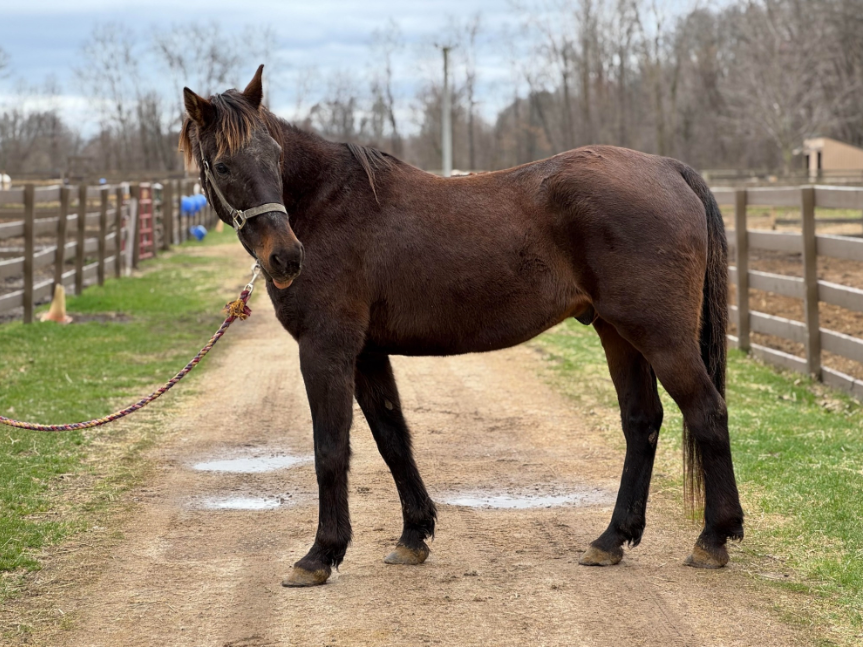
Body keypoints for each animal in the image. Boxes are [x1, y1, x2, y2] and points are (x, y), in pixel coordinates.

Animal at [179, 65, 744, 587]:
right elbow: (392, 438)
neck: (327, 203)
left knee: (707, 412)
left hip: (660, 336)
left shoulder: (327, 349)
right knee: (641, 422)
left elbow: (330, 450)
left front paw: (320, 556)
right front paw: (413, 537)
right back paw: (611, 540)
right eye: (224, 164)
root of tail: (668, 168)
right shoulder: (366, 353)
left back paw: (712, 539)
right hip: (617, 333)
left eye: (274, 156)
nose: (286, 258)